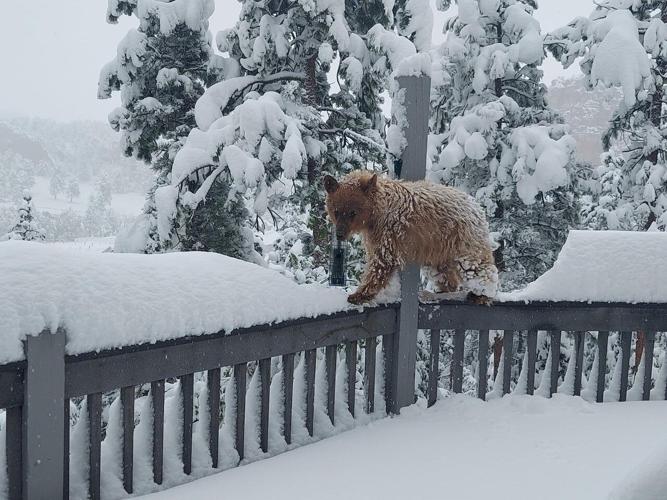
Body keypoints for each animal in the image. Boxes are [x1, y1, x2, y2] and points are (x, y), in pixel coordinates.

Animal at [323, 170, 498, 305]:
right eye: (336, 211)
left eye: (353, 212)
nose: (339, 234)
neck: (375, 216)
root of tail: (476, 205)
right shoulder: (375, 235)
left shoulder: (389, 232)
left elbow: (381, 263)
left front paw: (359, 294)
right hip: (437, 248)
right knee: (442, 271)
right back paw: (440, 290)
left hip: (463, 239)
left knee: (476, 266)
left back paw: (482, 293)